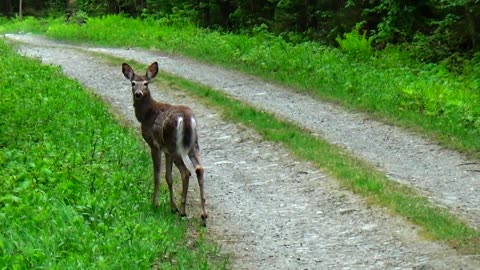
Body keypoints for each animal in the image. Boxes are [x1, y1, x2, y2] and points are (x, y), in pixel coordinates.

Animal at [122, 62, 206, 225]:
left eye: (146, 83)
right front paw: (172, 207)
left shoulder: (155, 145)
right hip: (193, 144)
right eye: (133, 83)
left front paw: (156, 204)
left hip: (175, 145)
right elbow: (169, 177)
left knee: (186, 172)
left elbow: (157, 174)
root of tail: (186, 119)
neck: (145, 114)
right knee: (199, 168)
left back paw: (183, 211)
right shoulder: (166, 150)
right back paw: (203, 216)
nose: (138, 93)